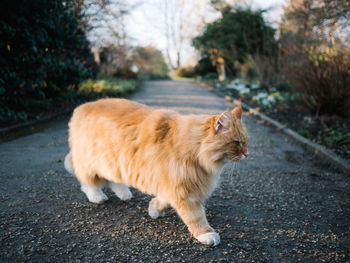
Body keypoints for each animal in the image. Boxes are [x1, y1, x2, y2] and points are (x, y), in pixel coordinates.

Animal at [63, 98, 249, 246]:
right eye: (236, 143)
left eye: (246, 142)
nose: (247, 154)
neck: (192, 147)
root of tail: (81, 107)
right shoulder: (185, 191)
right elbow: (196, 217)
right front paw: (206, 234)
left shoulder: (175, 185)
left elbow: (163, 200)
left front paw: (154, 209)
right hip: (92, 162)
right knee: (88, 183)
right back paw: (97, 197)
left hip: (113, 164)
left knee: (114, 181)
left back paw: (124, 194)